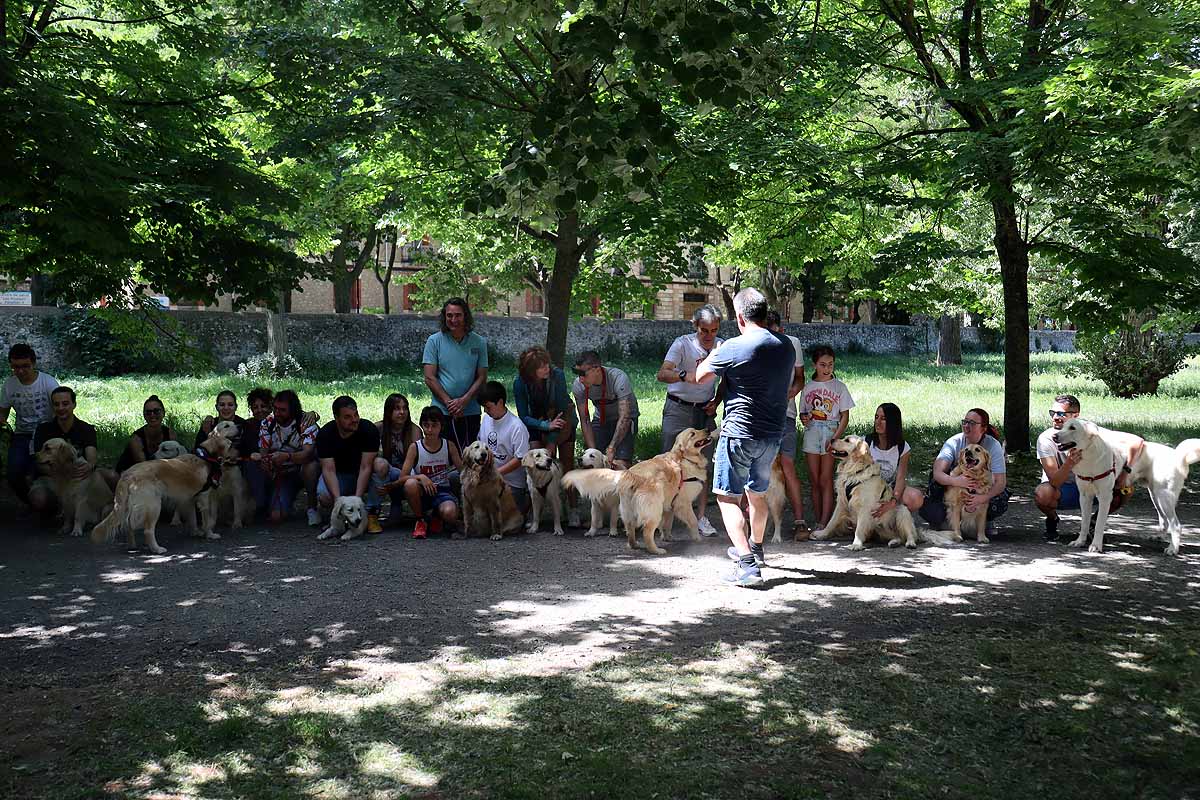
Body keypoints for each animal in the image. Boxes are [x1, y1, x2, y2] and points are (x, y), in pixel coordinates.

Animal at [91, 429, 234, 554]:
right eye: (230, 445)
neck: (205, 456)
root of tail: (128, 475)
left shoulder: (189, 499)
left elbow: (192, 518)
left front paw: (195, 532)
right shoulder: (203, 498)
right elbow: (207, 520)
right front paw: (210, 534)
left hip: (129, 506)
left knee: (129, 525)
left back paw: (132, 546)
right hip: (154, 506)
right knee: (147, 530)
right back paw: (156, 549)